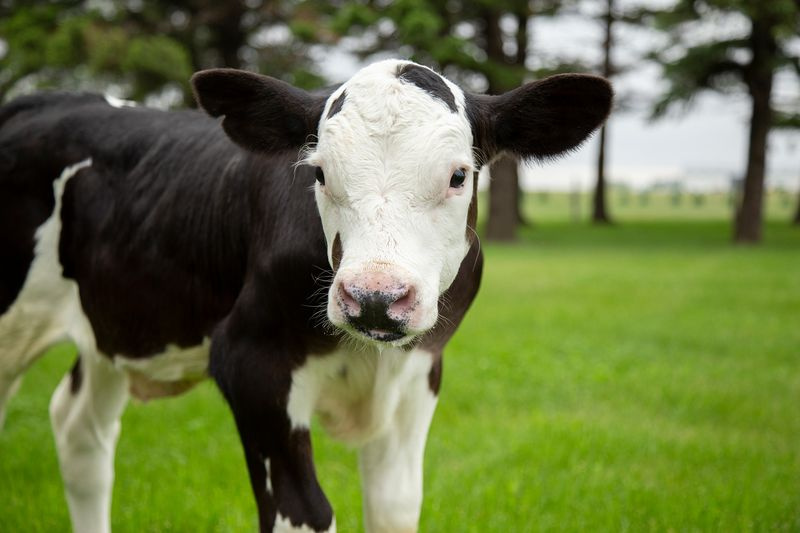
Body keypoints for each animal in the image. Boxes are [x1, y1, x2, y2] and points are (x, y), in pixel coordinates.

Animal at [0, 59, 612, 532]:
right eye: (319, 173)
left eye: (458, 175)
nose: (374, 298)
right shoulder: (252, 366)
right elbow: (307, 513)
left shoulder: (419, 375)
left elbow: (395, 508)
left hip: (112, 328)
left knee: (80, 432)